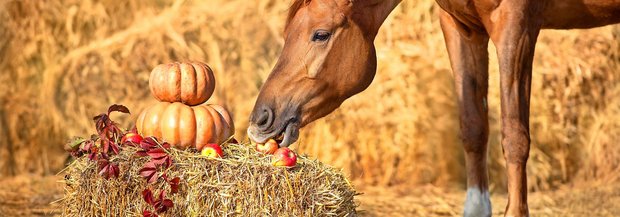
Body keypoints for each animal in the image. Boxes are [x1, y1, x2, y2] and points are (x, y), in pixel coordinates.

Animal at [247, 0, 620, 216]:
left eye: (321, 34)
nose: (260, 119)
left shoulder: (516, 25)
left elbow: (514, 136)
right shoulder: (460, 26)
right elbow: (473, 127)